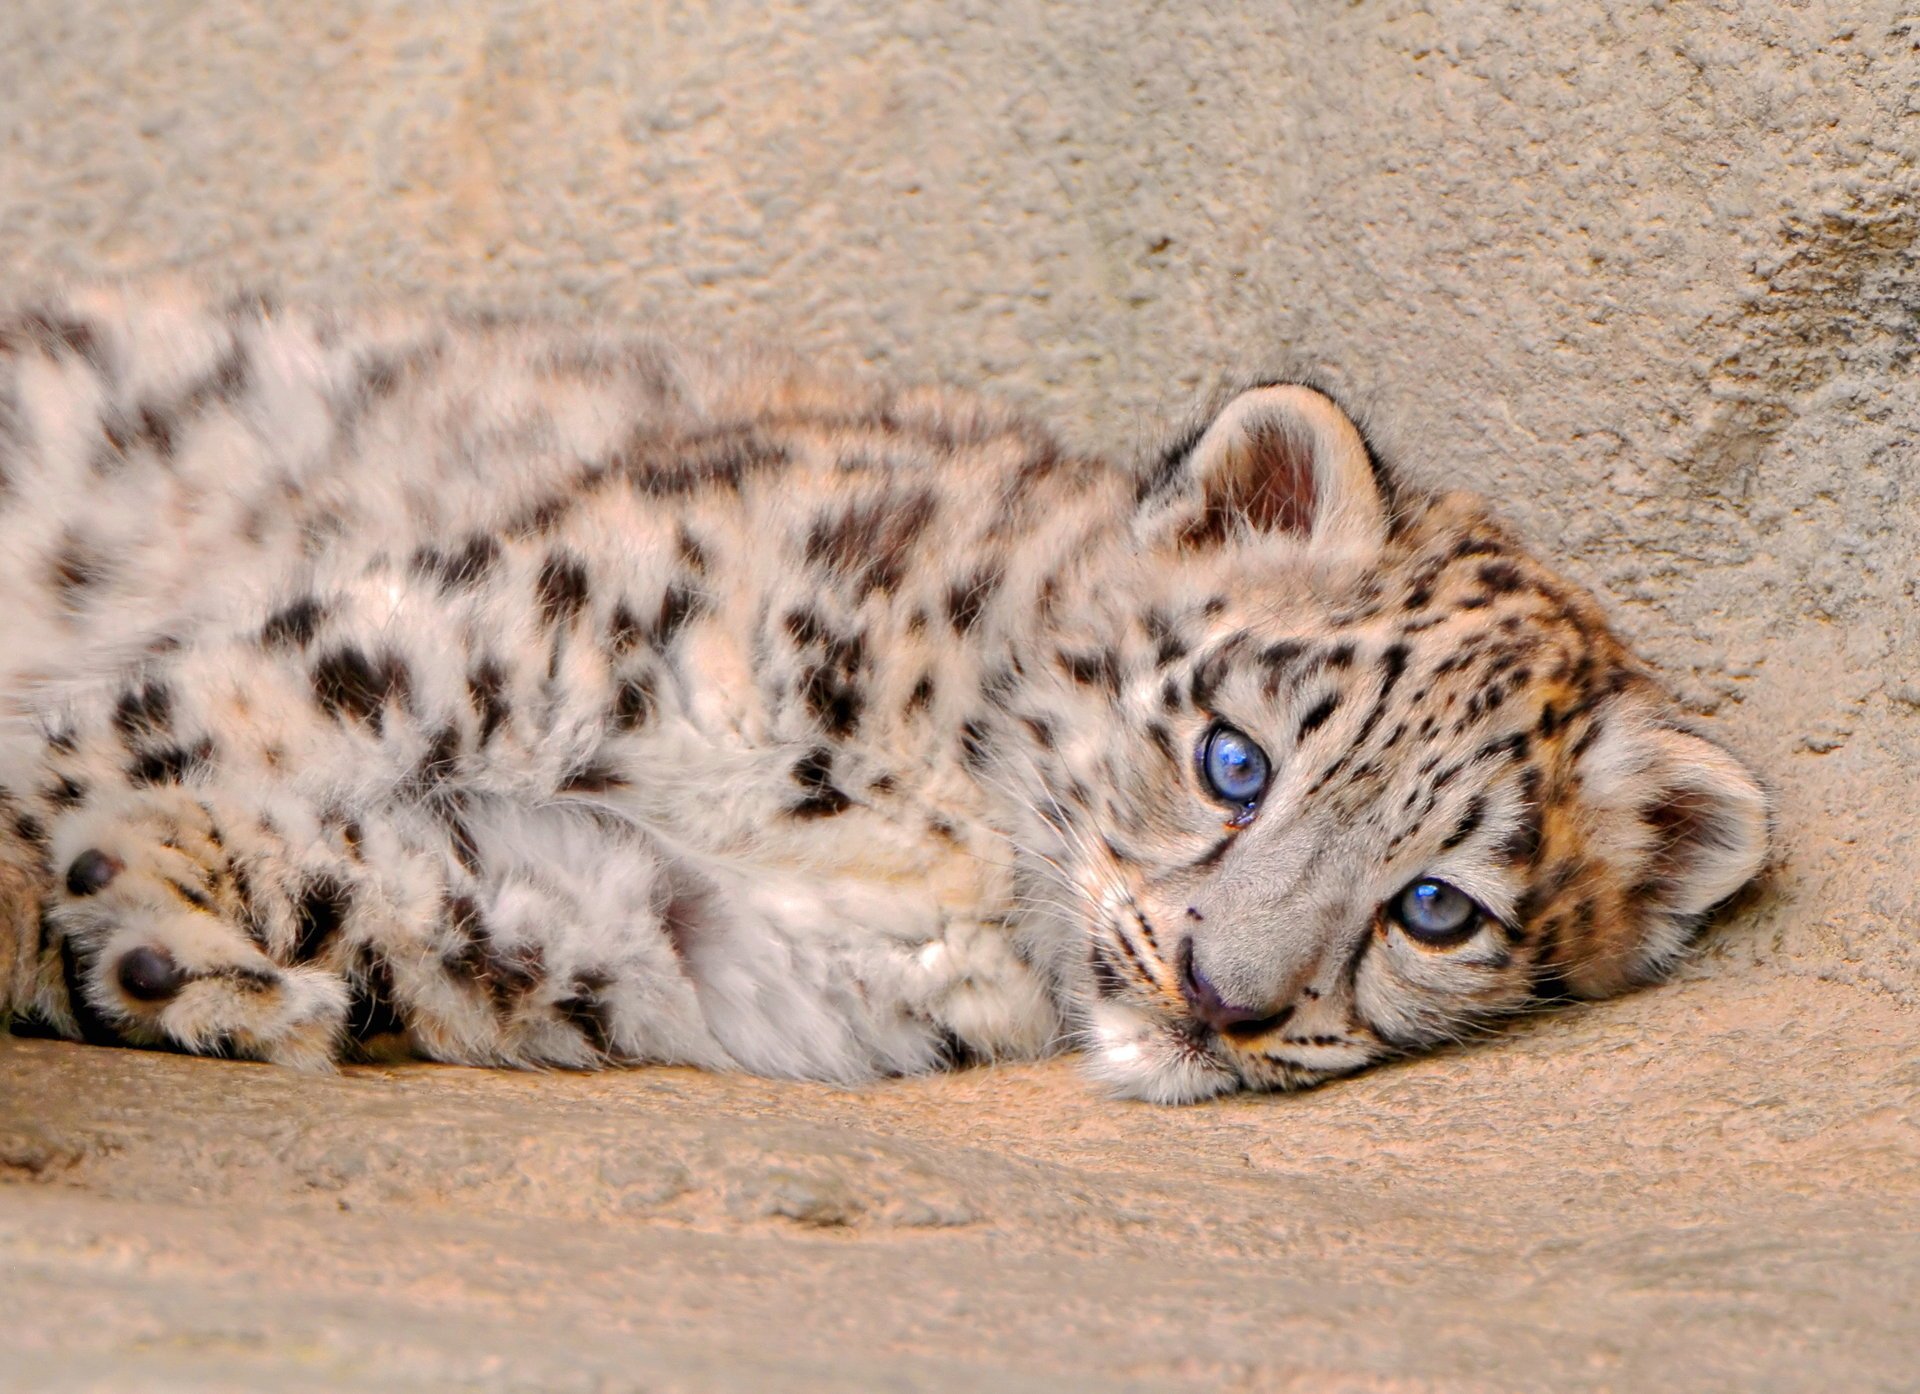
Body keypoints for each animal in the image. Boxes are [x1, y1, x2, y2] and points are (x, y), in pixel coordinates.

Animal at [0, 283, 1769, 1104]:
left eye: (1435, 909)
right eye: (1234, 758)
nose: (1225, 999)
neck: (929, 828)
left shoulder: (630, 919)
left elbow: (362, 882)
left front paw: (180, 966)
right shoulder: (514, 624)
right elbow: (191, 724)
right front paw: (128, 926)